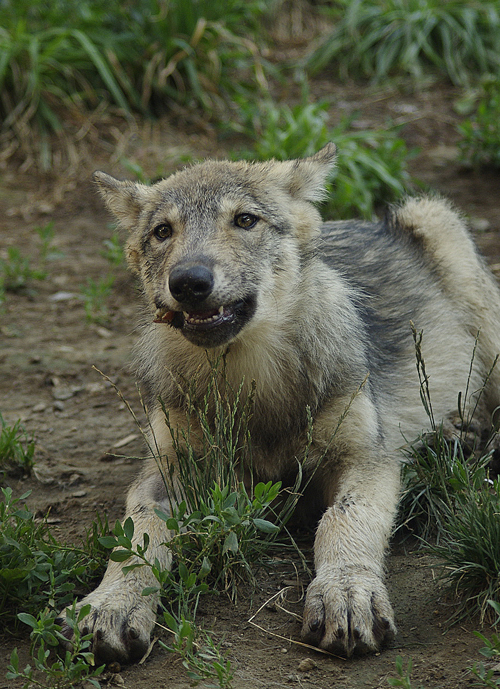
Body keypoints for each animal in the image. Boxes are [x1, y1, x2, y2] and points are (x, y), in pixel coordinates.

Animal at [61, 144, 500, 660]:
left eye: (245, 220)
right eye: (163, 231)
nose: (188, 281)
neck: (250, 385)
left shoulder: (366, 458)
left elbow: (344, 519)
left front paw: (345, 593)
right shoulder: (166, 472)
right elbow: (137, 537)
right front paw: (109, 604)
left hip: (440, 226)